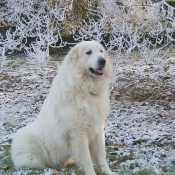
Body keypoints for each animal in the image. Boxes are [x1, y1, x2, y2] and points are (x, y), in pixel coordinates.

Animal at [11, 41, 117, 175]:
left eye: (101, 51)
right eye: (88, 52)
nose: (103, 61)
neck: (84, 89)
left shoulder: (98, 130)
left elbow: (102, 156)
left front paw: (108, 172)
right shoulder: (79, 134)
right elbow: (87, 160)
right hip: (30, 151)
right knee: (39, 166)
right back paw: (52, 170)